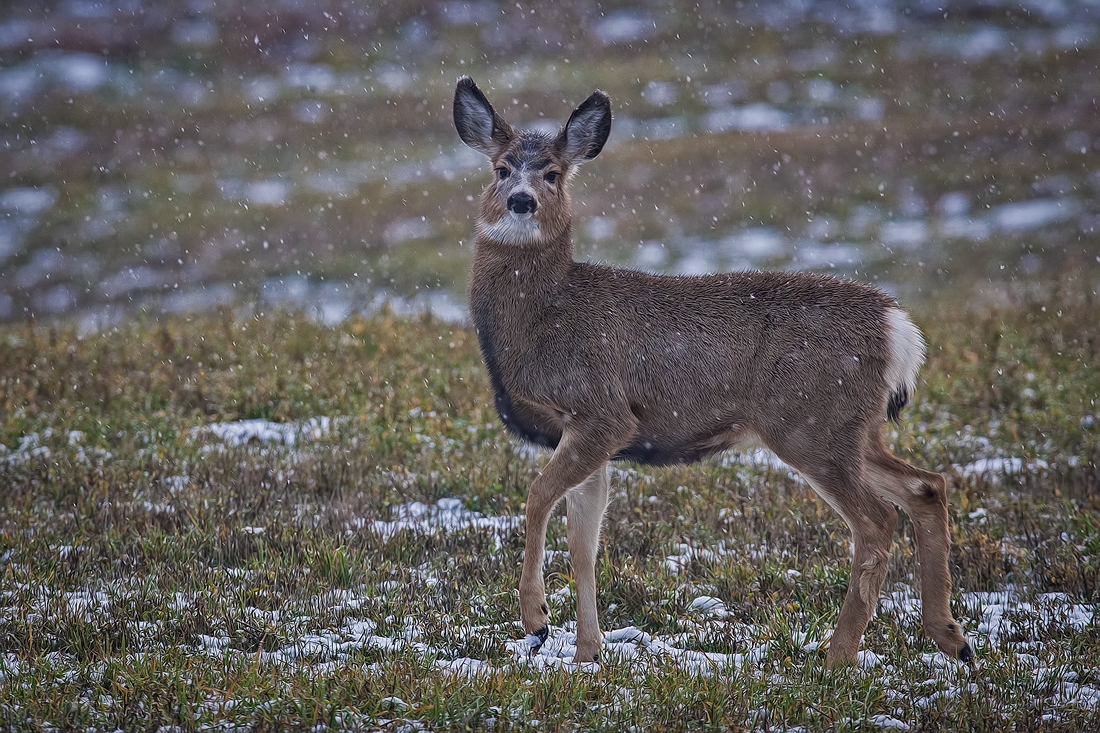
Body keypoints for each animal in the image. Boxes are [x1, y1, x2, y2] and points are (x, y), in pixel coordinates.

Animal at [453, 77, 972, 664]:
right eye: (500, 168)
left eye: (553, 173)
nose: (521, 200)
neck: (542, 319)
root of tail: (897, 326)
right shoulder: (590, 433)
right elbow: (584, 543)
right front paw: (587, 654)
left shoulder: (601, 411)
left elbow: (539, 496)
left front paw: (537, 619)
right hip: (853, 428)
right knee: (926, 486)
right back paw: (951, 637)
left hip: (809, 422)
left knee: (878, 520)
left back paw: (837, 656)